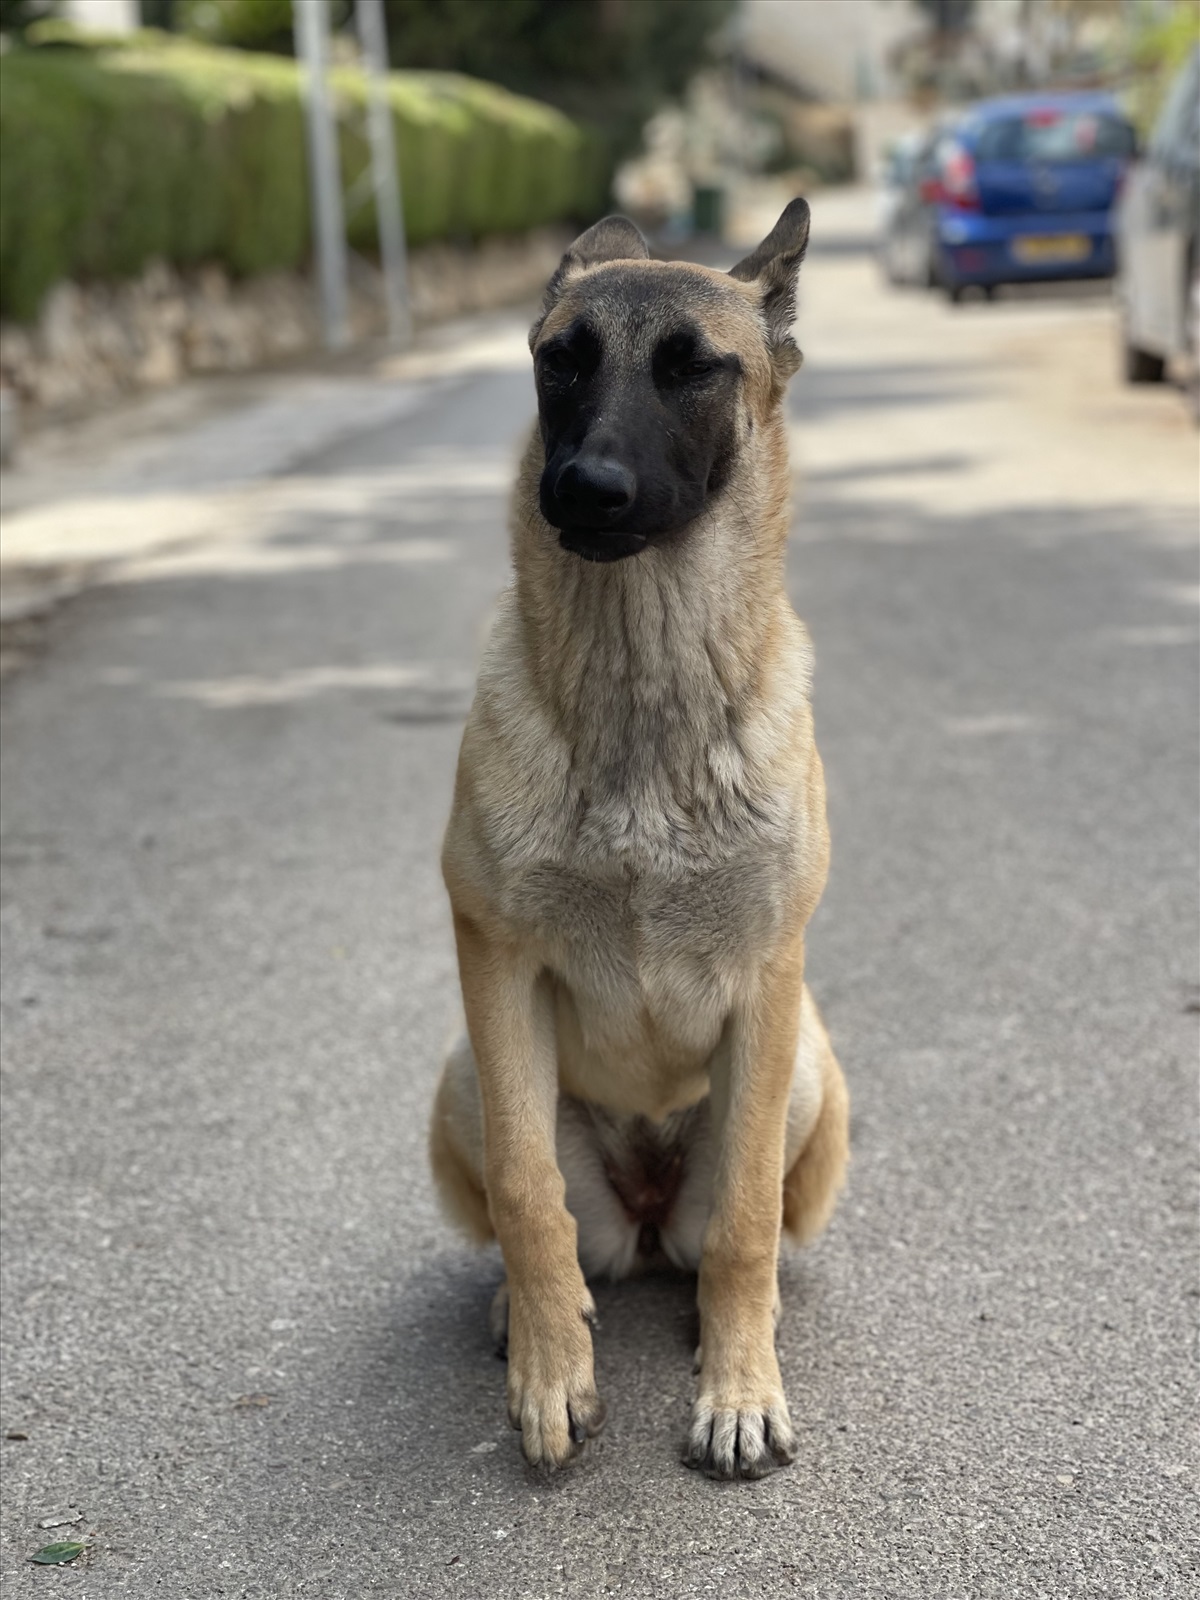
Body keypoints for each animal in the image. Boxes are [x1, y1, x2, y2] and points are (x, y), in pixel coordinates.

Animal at [428, 203, 851, 1484]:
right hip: (465, 1071)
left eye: (692, 367)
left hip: (805, 1072)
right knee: (563, 1227)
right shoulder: (496, 962)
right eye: (560, 360)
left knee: (725, 1235)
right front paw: (551, 1371)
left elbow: (749, 1223)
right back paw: (533, 1309)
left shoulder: (767, 984)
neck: (639, 697)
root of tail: (655, 1207)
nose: (584, 488)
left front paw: (739, 1389)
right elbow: (529, 1195)